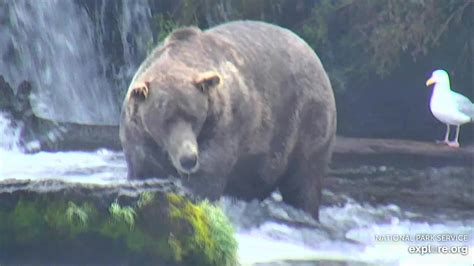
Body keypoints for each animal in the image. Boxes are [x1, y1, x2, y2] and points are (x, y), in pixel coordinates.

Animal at [120, 20, 336, 219]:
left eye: (194, 117)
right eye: (166, 120)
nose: (188, 159)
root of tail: (312, 52)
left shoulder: (221, 124)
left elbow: (207, 174)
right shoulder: (139, 139)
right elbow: (142, 171)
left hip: (306, 117)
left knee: (304, 178)